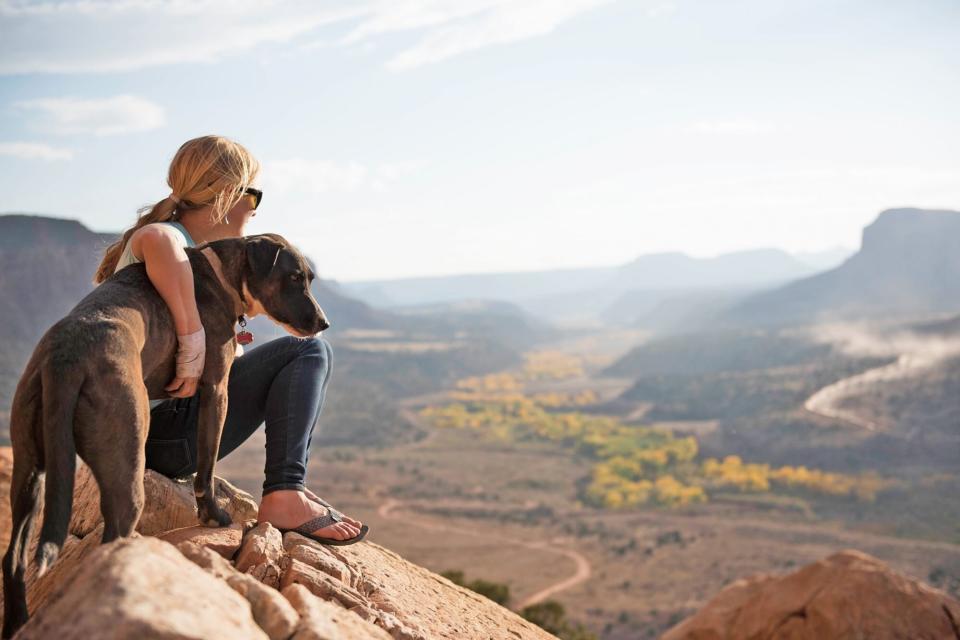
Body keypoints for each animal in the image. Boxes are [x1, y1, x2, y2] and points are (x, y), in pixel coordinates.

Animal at [1, 231, 328, 636]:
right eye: (294, 278)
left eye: (308, 278)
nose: (324, 323)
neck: (220, 273)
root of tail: (67, 358)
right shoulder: (217, 391)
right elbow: (206, 466)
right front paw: (213, 514)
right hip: (126, 468)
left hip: (30, 470)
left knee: (13, 558)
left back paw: (17, 622)